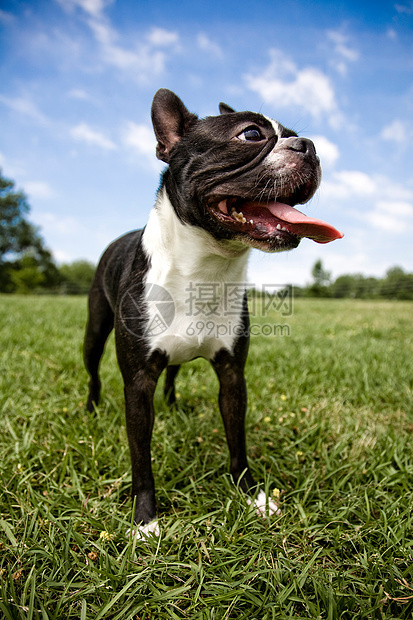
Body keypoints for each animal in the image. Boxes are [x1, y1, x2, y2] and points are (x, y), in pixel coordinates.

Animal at [83, 88, 342, 536]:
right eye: (251, 134)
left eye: (293, 133)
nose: (307, 146)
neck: (207, 268)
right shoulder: (137, 382)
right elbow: (141, 459)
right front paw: (145, 521)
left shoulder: (232, 375)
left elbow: (237, 443)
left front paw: (252, 497)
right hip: (95, 330)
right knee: (94, 371)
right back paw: (91, 409)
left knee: (172, 372)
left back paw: (171, 407)